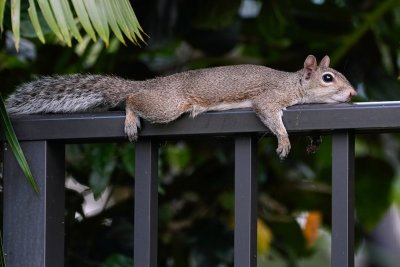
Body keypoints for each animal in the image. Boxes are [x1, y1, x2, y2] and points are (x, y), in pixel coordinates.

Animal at [6, 54, 356, 159]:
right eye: (328, 78)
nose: (353, 93)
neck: (293, 84)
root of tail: (148, 84)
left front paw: (315, 140)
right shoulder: (269, 98)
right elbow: (271, 116)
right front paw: (283, 140)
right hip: (167, 105)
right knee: (132, 100)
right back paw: (130, 117)